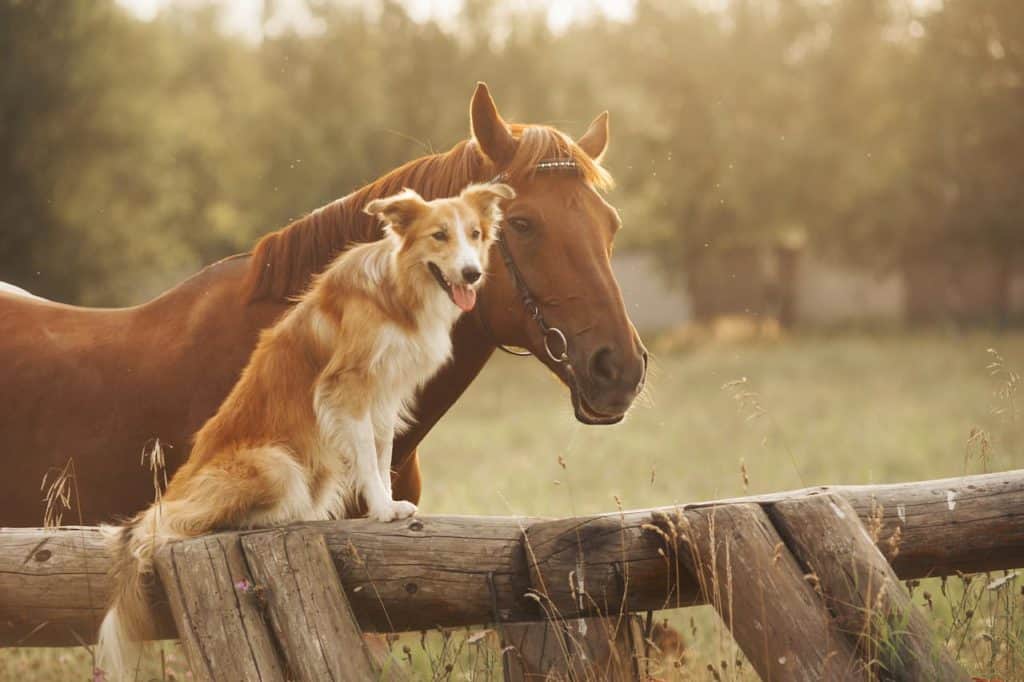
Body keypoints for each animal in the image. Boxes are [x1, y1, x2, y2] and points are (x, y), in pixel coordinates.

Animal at [95, 180, 512, 675]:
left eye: (475, 233)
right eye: (439, 236)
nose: (472, 274)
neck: (398, 290)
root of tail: (173, 492)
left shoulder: (385, 396)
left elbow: (382, 453)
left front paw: (389, 505)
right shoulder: (348, 389)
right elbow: (368, 458)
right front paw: (382, 510)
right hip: (275, 464)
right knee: (186, 523)